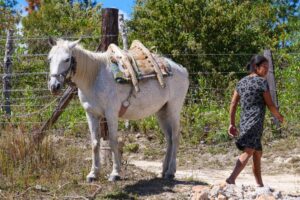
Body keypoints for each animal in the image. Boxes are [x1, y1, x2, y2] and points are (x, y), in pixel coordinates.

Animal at [47, 38, 189, 182]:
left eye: (67, 59)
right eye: (50, 59)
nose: (54, 86)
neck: (94, 78)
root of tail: (182, 69)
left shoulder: (111, 114)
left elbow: (113, 142)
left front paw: (115, 173)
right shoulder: (91, 114)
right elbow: (95, 143)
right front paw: (93, 173)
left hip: (173, 109)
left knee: (175, 137)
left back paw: (170, 171)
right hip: (162, 112)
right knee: (169, 138)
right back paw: (164, 170)